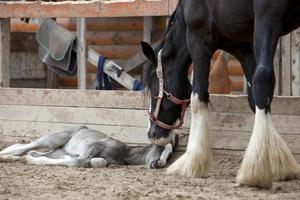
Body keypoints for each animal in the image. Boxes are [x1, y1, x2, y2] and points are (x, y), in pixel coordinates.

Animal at [141, 0, 300, 188]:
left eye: (153, 80)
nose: (152, 134)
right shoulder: (243, 46)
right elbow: (253, 99)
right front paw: (278, 162)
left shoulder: (197, 38)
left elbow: (198, 97)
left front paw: (192, 161)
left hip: (267, 15)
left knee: (263, 77)